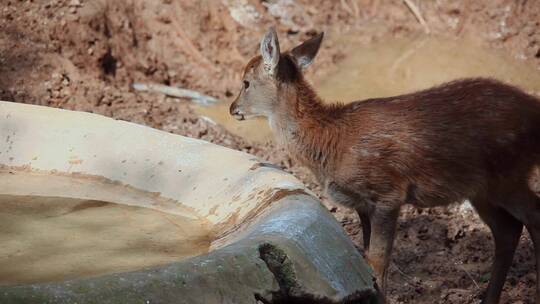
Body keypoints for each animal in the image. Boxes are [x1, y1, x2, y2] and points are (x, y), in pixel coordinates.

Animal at [230, 27, 540, 302]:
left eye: (246, 82)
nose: (233, 109)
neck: (329, 143)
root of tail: (533, 110)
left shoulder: (388, 192)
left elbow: (378, 262)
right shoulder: (362, 204)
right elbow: (367, 262)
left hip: (507, 172)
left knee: (532, 216)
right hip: (482, 188)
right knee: (508, 231)